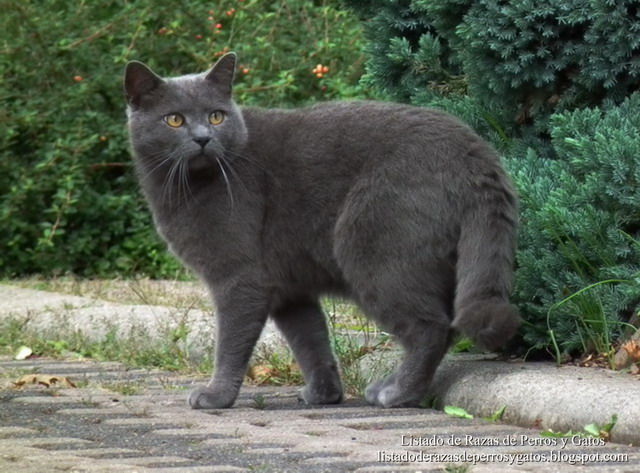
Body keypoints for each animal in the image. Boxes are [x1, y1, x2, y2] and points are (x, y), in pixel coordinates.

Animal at [124, 52, 520, 410]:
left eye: (216, 116)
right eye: (174, 119)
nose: (204, 137)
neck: (182, 187)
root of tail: (476, 152)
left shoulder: (240, 277)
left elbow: (231, 343)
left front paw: (216, 396)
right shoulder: (289, 288)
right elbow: (311, 340)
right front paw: (325, 394)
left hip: (370, 249)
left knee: (431, 327)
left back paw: (397, 394)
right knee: (442, 326)